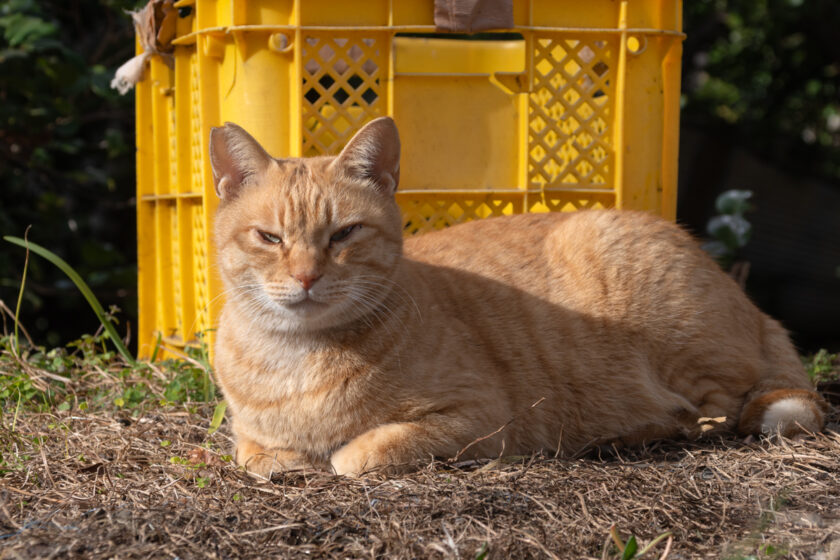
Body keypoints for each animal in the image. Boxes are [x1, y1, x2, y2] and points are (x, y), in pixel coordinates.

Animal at [208, 116, 828, 474]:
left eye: (343, 235)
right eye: (270, 238)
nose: (307, 277)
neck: (298, 357)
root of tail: (753, 306)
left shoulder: (482, 419)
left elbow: (363, 453)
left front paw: (339, 454)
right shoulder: (249, 436)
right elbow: (256, 456)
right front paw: (287, 458)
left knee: (715, 414)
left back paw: (624, 433)